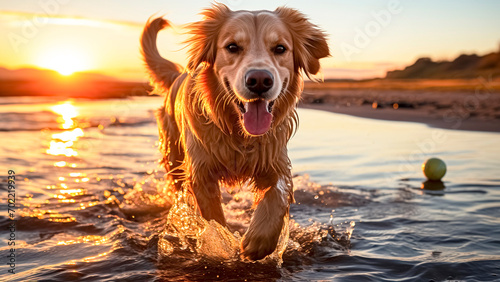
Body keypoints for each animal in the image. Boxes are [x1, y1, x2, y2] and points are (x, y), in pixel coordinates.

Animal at [141, 3, 328, 260]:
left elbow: (279, 191)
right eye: (232, 47)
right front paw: (219, 241)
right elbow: (212, 216)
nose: (259, 80)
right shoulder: (201, 171)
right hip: (173, 155)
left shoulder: (275, 159)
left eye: (280, 48)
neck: (239, 134)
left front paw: (260, 239)